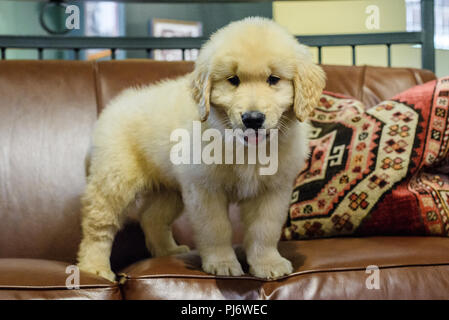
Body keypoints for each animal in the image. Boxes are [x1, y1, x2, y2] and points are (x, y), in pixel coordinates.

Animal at [76, 16, 322, 282]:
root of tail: (109, 109)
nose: (253, 119)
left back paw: (168, 251)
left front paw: (267, 264)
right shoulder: (204, 188)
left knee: (151, 218)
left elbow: (264, 229)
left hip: (170, 188)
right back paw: (94, 267)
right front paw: (222, 263)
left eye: (273, 79)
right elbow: (216, 228)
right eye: (233, 80)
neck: (243, 146)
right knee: (98, 224)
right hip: (115, 179)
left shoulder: (273, 189)